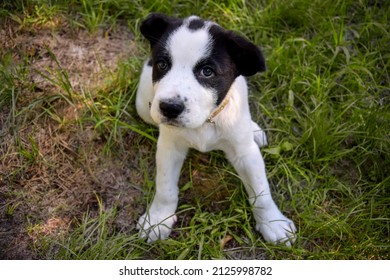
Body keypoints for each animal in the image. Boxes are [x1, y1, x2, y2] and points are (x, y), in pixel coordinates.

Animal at [136, 13, 298, 245]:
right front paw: (157, 220)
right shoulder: (169, 147)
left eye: (207, 72)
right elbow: (165, 188)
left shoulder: (246, 153)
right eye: (163, 64)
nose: (169, 108)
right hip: (143, 107)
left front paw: (273, 222)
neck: (206, 121)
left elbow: (261, 192)